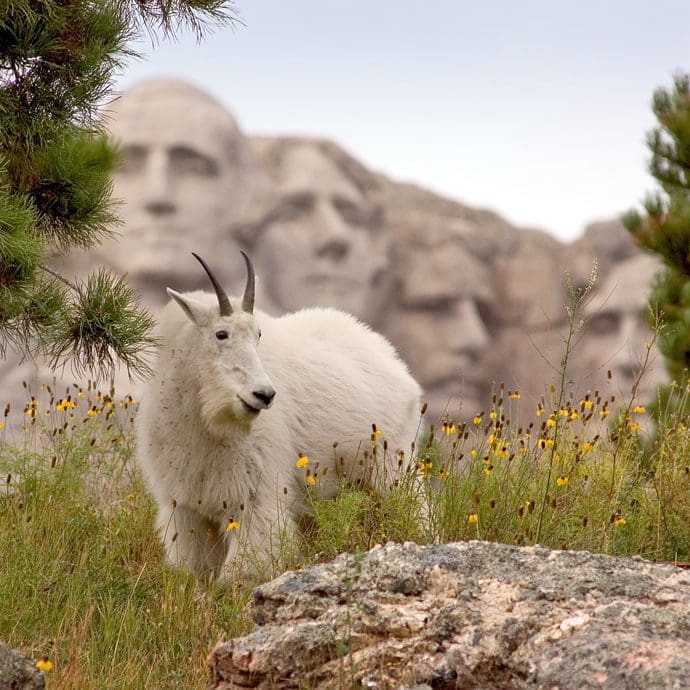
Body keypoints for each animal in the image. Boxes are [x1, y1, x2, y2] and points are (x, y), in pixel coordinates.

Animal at [136, 251, 423, 580]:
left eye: (258, 334)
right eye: (221, 334)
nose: (264, 395)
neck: (204, 423)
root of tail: (394, 360)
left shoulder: (255, 497)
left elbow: (243, 568)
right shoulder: (186, 508)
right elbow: (197, 569)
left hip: (392, 464)